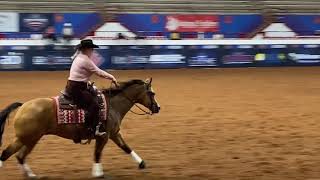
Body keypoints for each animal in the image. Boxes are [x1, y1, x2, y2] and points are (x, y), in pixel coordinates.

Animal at [0, 78, 160, 179]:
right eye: (152, 93)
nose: (158, 108)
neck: (112, 105)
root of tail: (23, 106)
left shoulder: (114, 134)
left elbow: (126, 147)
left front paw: (141, 163)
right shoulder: (103, 136)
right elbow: (97, 153)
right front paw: (98, 174)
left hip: (31, 139)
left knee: (20, 156)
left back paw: (31, 175)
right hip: (26, 138)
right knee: (7, 153)